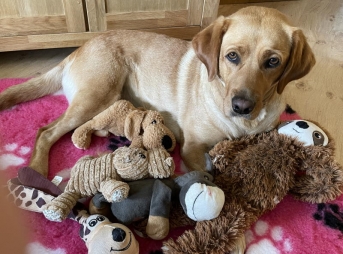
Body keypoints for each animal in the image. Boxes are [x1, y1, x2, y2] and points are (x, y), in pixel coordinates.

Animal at [0, 5, 316, 177]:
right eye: (232, 56)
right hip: (97, 94)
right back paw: (37, 171)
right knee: (46, 132)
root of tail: (78, 49)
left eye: (272, 61)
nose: (241, 106)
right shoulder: (192, 149)